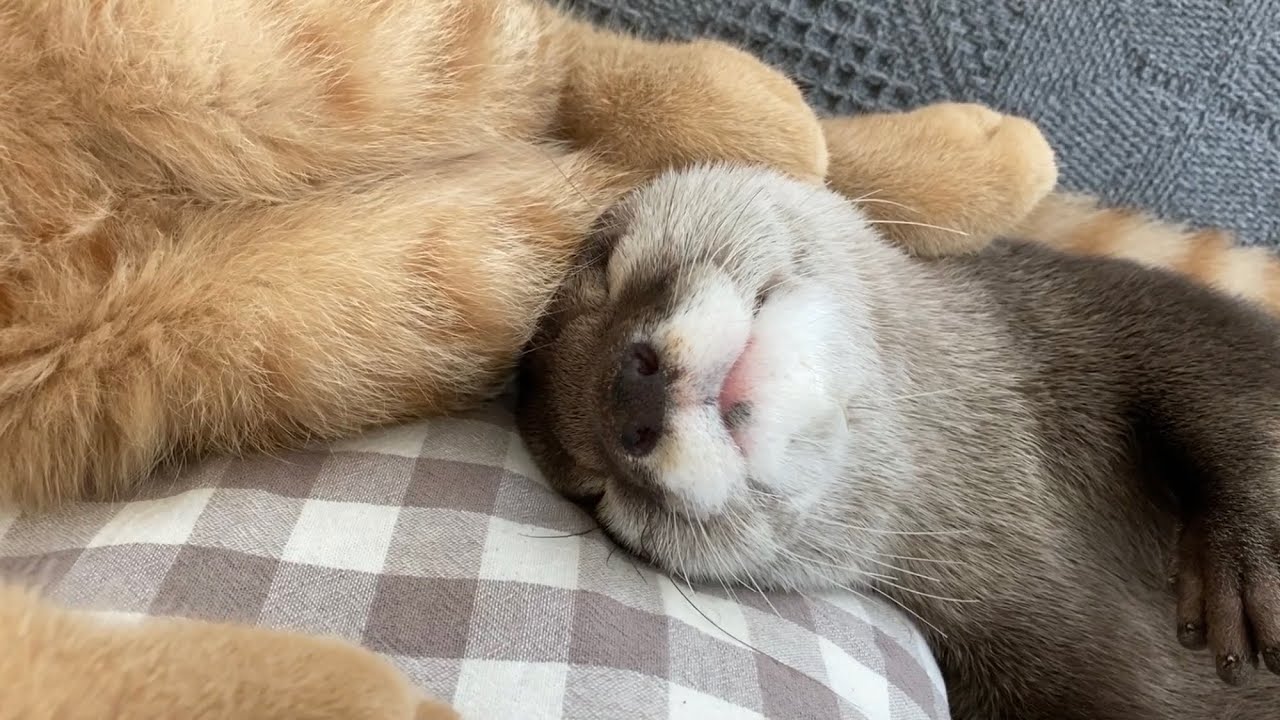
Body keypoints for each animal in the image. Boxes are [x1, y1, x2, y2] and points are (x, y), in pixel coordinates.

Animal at [513, 163, 1280, 716]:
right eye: (595, 491)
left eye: (607, 268)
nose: (626, 401)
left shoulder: (1136, 311)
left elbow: (1229, 385)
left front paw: (1243, 564)